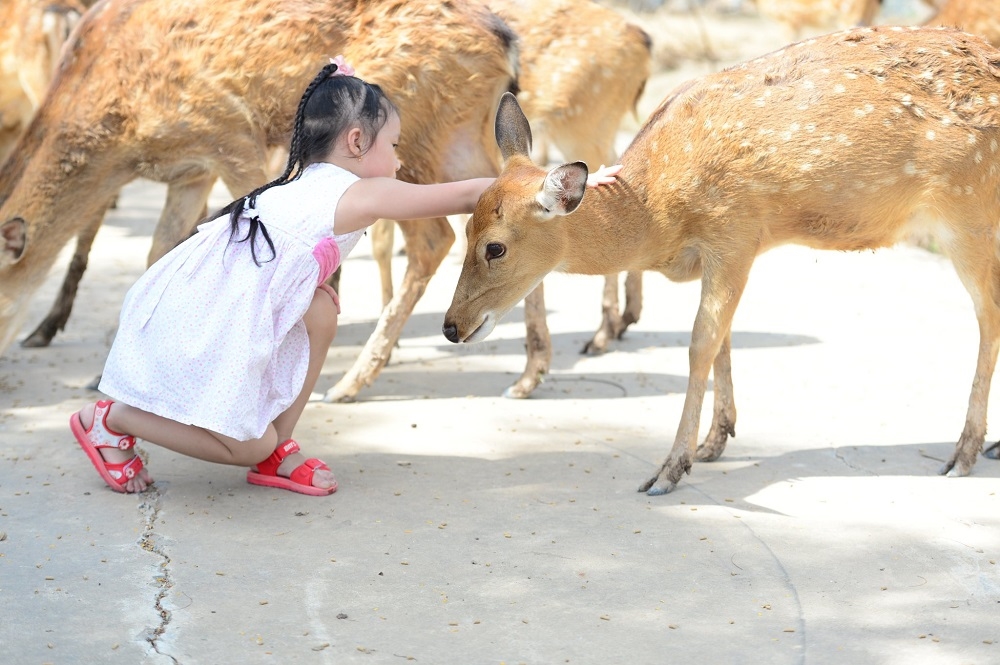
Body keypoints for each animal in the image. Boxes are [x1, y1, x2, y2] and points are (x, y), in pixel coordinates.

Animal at [0, 0, 516, 358]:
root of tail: (505, 40)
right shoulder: (188, 170)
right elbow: (157, 251)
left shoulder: (231, 133)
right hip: (461, 136)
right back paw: (524, 374)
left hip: (418, 137)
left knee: (433, 237)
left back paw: (352, 379)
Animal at [442, 26, 1000, 492]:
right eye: (464, 228)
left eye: (495, 246)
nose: (452, 326)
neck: (659, 215)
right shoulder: (726, 253)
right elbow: (724, 341)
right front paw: (716, 440)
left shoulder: (734, 232)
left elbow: (700, 345)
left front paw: (670, 468)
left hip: (968, 212)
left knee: (988, 316)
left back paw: (963, 453)